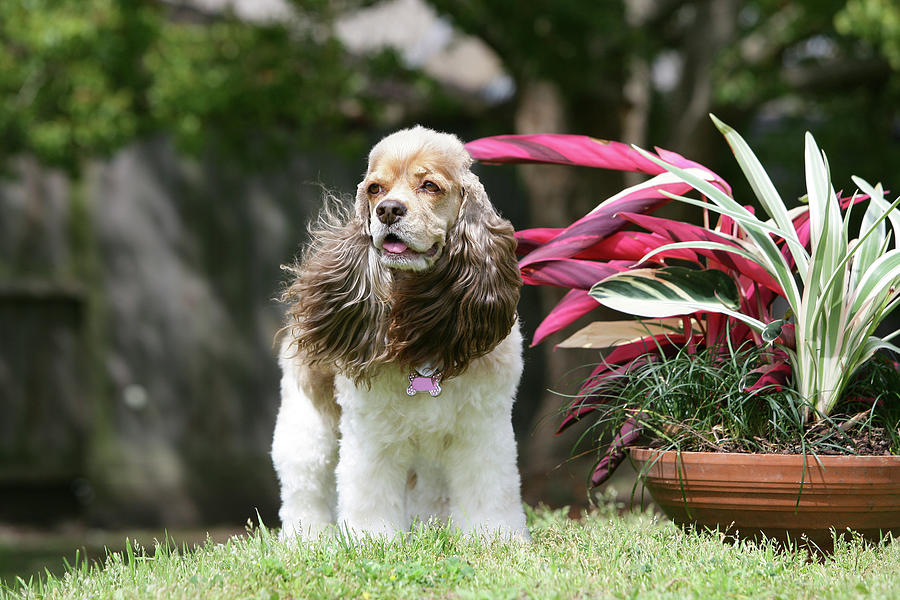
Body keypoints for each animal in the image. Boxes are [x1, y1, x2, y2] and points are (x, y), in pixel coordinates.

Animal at [270, 125, 532, 540]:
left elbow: (489, 491)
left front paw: (496, 538)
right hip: (307, 426)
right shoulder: (370, 432)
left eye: (430, 185)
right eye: (375, 188)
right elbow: (368, 494)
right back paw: (306, 538)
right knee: (303, 488)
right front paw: (370, 540)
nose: (388, 210)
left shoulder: (482, 429)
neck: (419, 321)